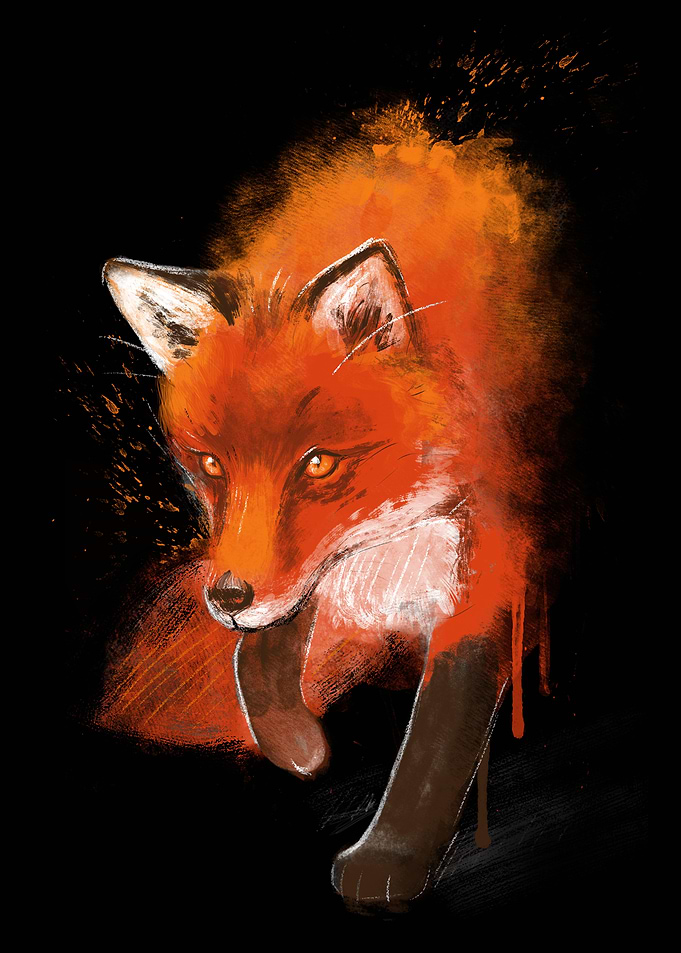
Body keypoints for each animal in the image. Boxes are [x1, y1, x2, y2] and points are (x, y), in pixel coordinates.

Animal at [97, 132, 569, 912]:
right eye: (210, 463)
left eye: (318, 463)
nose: (225, 599)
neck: (387, 537)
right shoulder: (289, 573)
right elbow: (254, 656)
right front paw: (298, 746)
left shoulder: (487, 577)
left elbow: (435, 741)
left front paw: (390, 857)